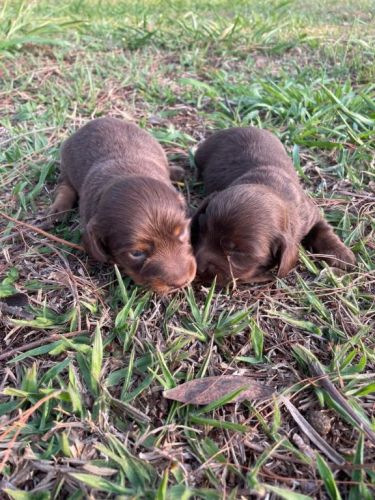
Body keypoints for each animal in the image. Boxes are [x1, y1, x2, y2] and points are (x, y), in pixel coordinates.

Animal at [50, 116, 197, 292]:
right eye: (136, 253)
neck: (126, 175)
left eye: (182, 232)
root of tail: (96, 120)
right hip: (66, 164)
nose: (181, 282)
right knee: (65, 186)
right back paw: (59, 210)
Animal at [192, 127, 356, 286]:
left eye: (238, 253)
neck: (268, 185)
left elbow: (323, 230)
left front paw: (342, 255)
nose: (198, 268)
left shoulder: (310, 213)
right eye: (201, 230)